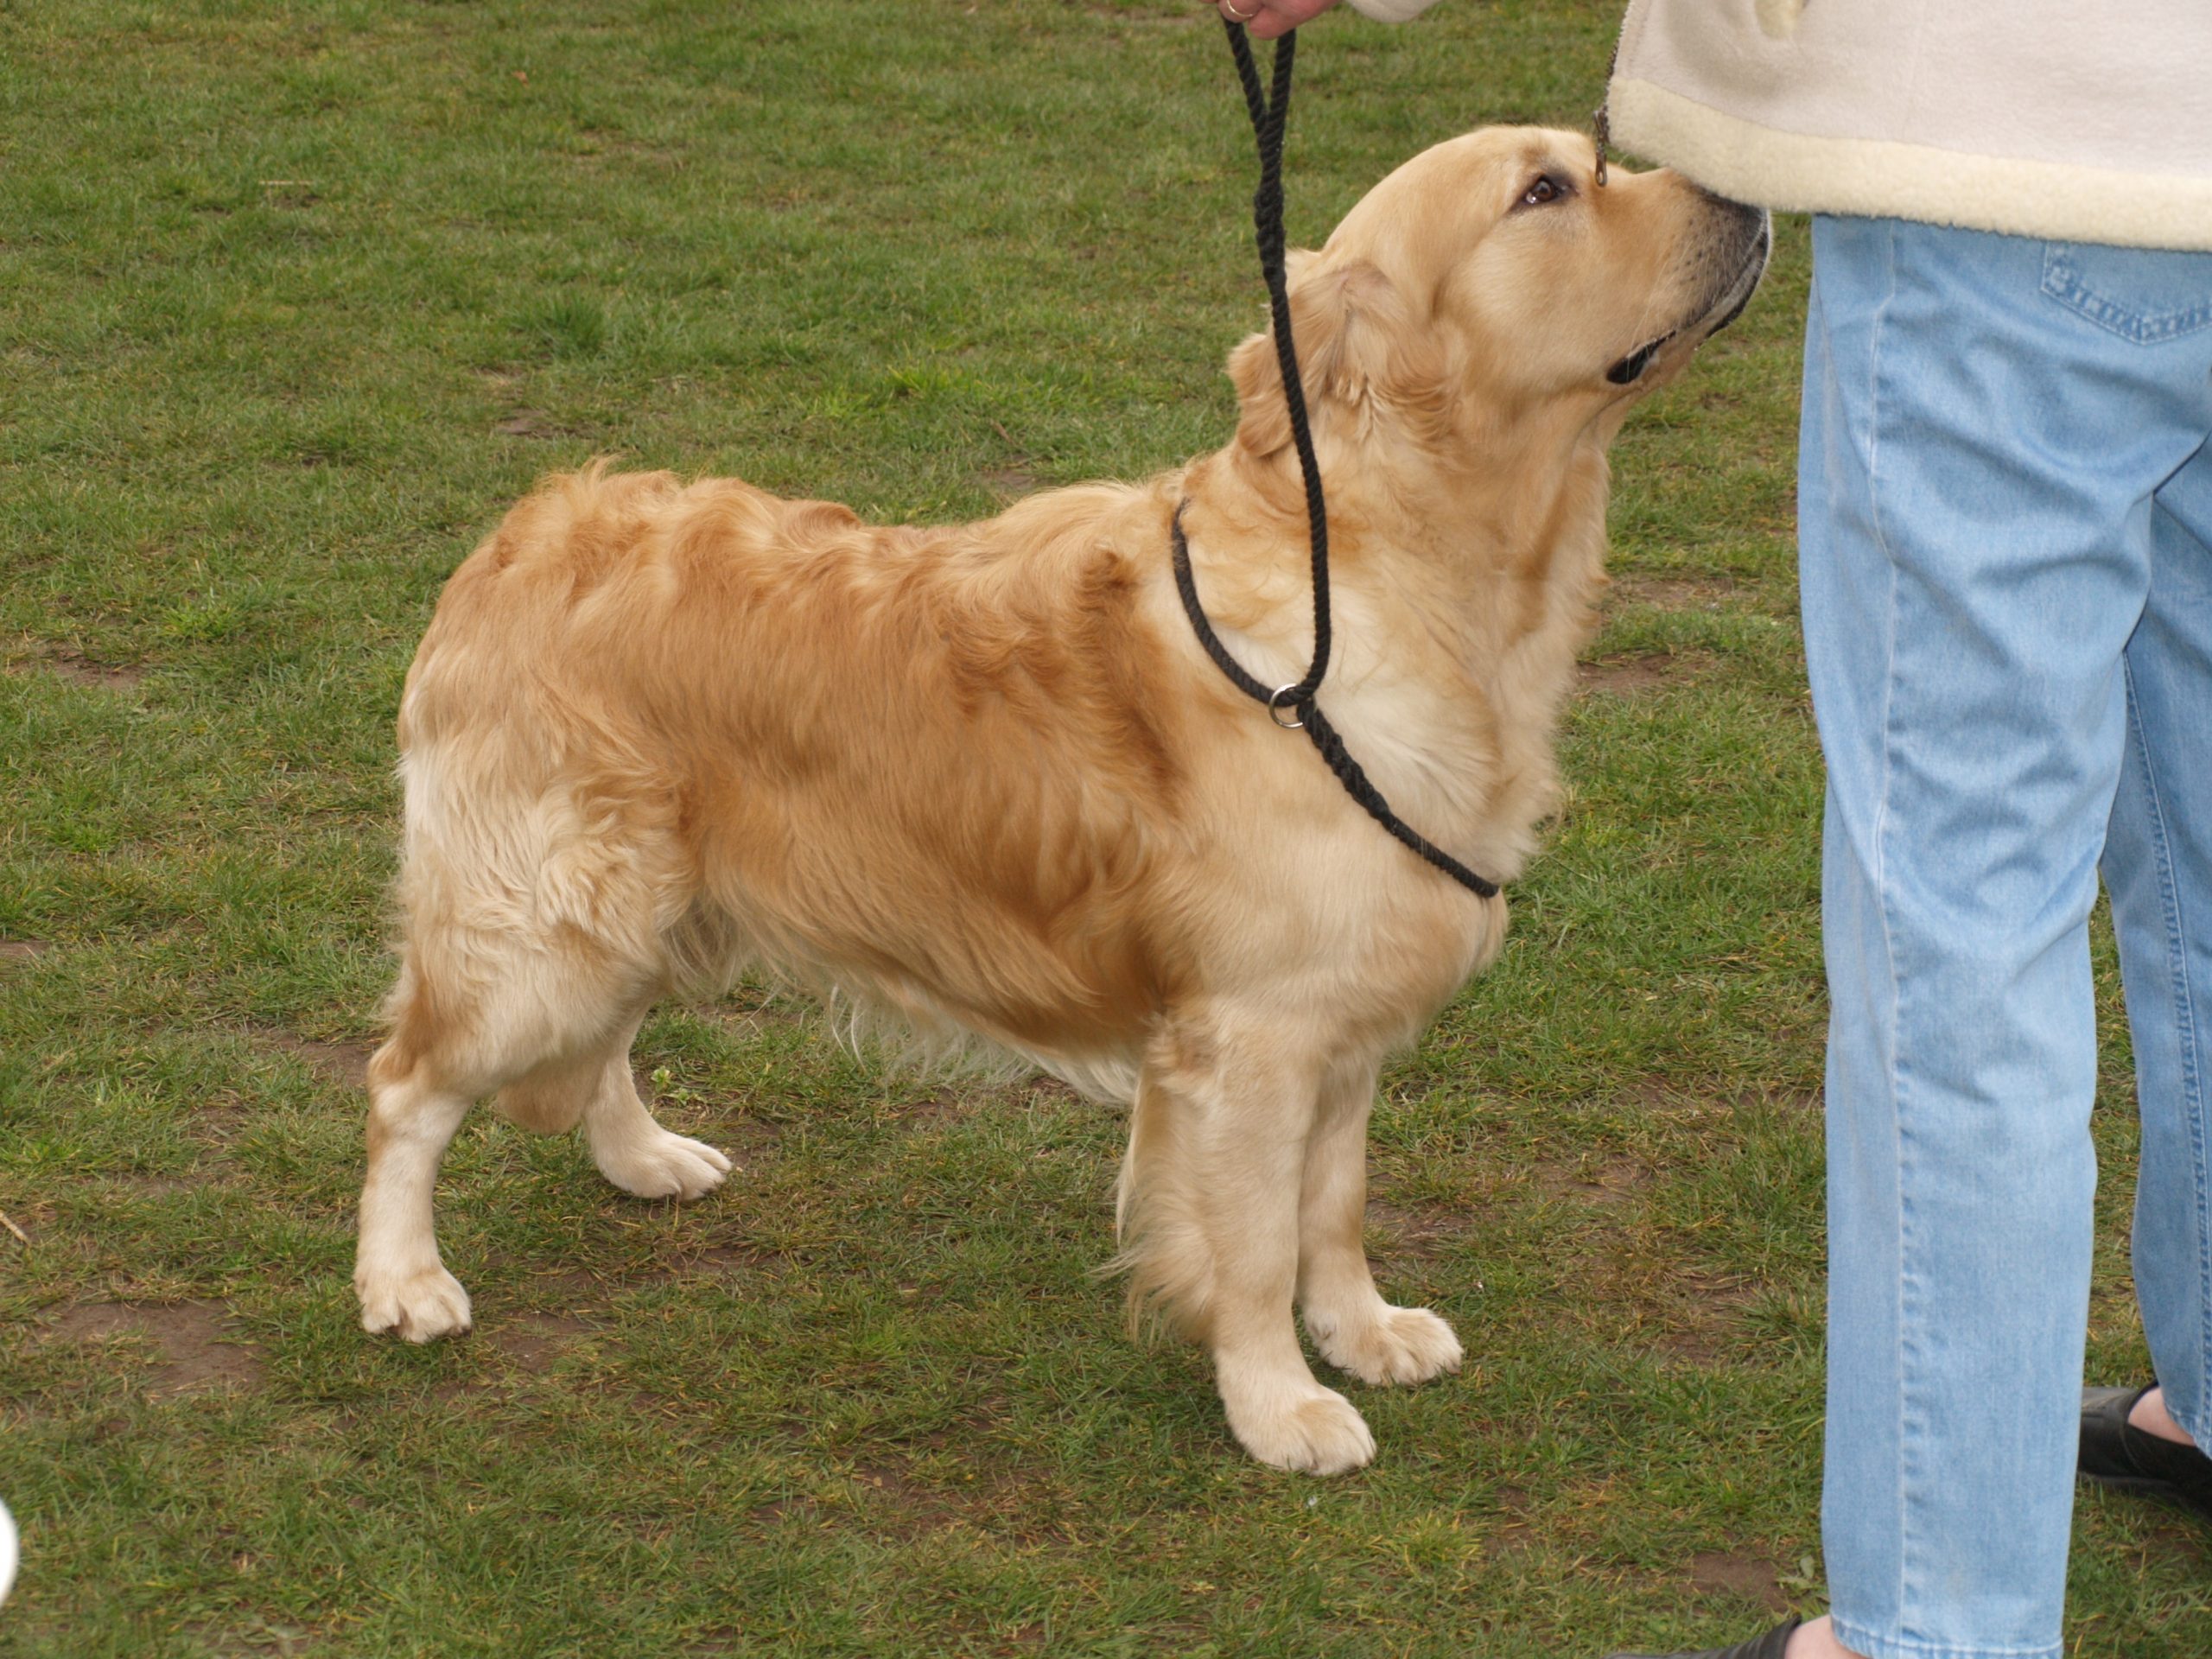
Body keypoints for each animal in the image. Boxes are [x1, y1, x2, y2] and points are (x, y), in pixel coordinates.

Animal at [349, 133, 1760, 1478]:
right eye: (1547, 189)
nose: (1751, 201)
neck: (1393, 578)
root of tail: (517, 534)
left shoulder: (1342, 1020)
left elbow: (1337, 1206)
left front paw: (1361, 1331)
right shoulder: (1252, 1040)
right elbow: (1255, 1248)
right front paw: (1280, 1407)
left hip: (636, 903)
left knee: (600, 1046)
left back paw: (645, 1159)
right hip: (545, 926)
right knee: (405, 1086)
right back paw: (404, 1279)